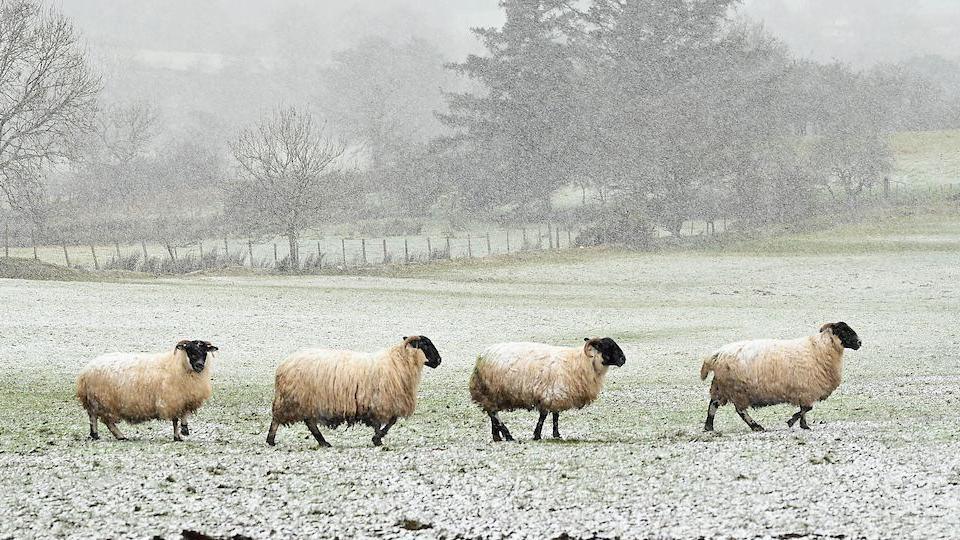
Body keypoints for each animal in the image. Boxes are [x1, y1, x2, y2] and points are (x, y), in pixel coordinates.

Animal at [77, 340, 219, 440]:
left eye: (205, 352)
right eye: (191, 351)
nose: (200, 365)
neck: (178, 365)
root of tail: (85, 372)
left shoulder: (182, 398)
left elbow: (183, 414)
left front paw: (184, 430)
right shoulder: (171, 399)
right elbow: (175, 420)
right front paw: (177, 436)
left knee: (97, 418)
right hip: (101, 401)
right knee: (100, 419)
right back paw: (113, 435)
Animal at [264, 336, 440, 450]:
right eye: (426, 344)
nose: (439, 361)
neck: (399, 361)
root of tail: (283, 365)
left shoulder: (378, 402)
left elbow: (390, 421)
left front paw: (377, 438)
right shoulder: (381, 402)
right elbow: (389, 422)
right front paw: (377, 439)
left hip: (305, 400)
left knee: (309, 422)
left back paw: (323, 442)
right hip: (292, 399)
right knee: (277, 419)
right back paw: (271, 440)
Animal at [468, 338, 628, 442]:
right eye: (608, 346)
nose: (623, 359)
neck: (582, 362)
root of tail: (482, 356)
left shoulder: (556, 393)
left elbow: (555, 415)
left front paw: (556, 434)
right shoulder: (549, 393)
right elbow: (544, 416)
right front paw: (537, 435)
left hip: (490, 393)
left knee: (491, 413)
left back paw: (497, 436)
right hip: (490, 390)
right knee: (494, 413)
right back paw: (507, 435)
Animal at [696, 322, 864, 432]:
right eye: (845, 331)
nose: (860, 342)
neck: (820, 348)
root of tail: (717, 354)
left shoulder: (805, 391)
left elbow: (805, 409)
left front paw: (804, 425)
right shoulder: (807, 389)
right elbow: (807, 408)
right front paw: (792, 421)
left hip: (721, 385)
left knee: (713, 404)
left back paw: (709, 426)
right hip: (736, 388)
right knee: (739, 410)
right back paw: (756, 426)